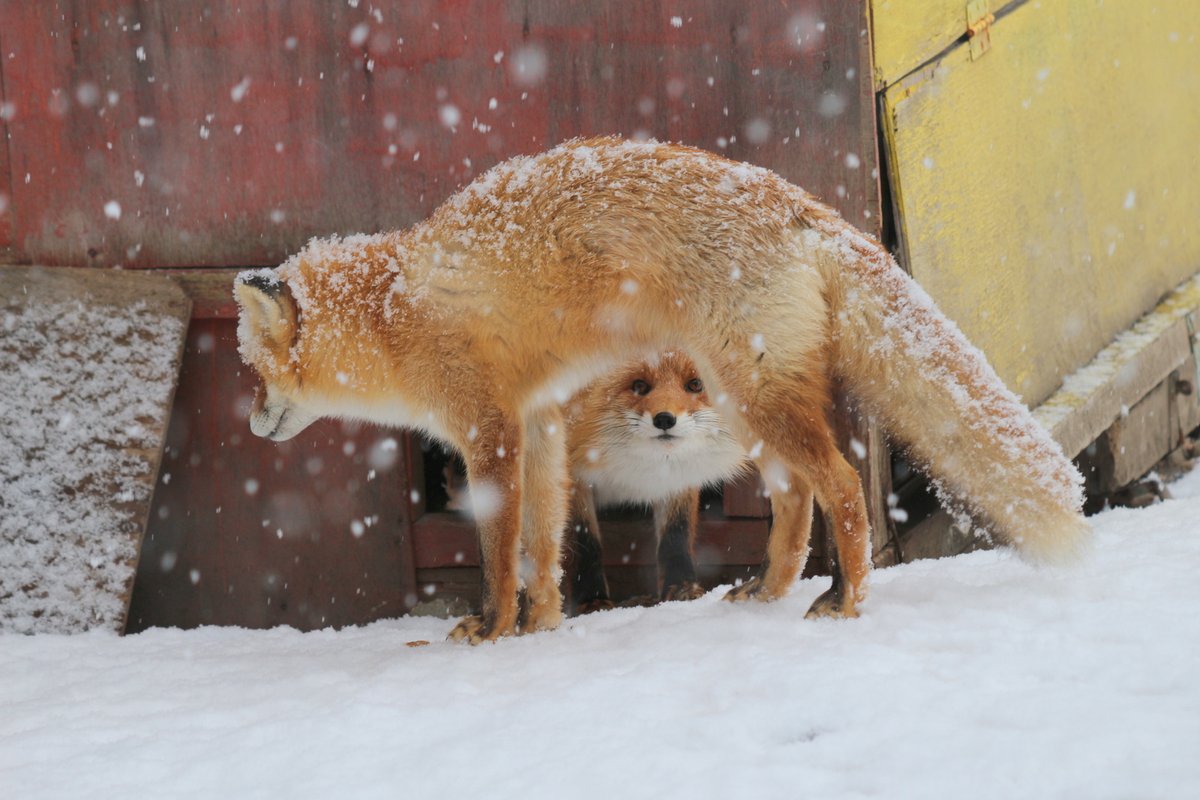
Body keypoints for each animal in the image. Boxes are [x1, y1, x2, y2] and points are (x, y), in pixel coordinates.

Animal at [231, 133, 1089, 642]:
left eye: (254, 372)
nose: (249, 424)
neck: (395, 311)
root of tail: (799, 201)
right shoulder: (543, 424)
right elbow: (550, 541)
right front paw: (545, 625)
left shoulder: (490, 432)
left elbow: (501, 547)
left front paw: (493, 625)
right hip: (746, 405)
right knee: (795, 498)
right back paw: (769, 589)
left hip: (757, 398)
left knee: (842, 487)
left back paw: (845, 601)